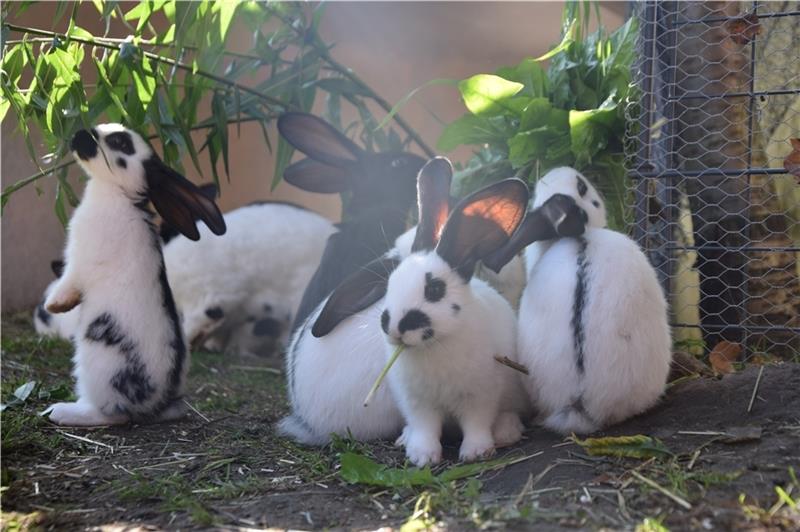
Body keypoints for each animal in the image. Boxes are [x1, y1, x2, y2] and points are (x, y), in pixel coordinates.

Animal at [42, 123, 226, 426]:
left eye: (121, 143)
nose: (78, 134)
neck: (118, 193)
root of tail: (155, 405)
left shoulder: (80, 261)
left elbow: (68, 282)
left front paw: (54, 305)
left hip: (98, 364)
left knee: (113, 414)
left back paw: (63, 412)